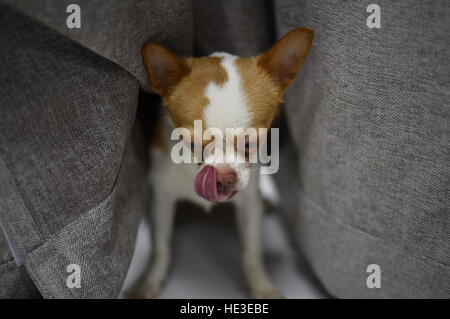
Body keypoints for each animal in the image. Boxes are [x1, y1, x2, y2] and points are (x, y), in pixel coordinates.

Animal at [134, 27, 312, 300]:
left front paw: (261, 287)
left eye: (252, 143)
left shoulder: (248, 203)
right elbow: (161, 246)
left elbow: (252, 250)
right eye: (192, 143)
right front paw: (150, 281)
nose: (223, 176)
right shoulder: (162, 198)